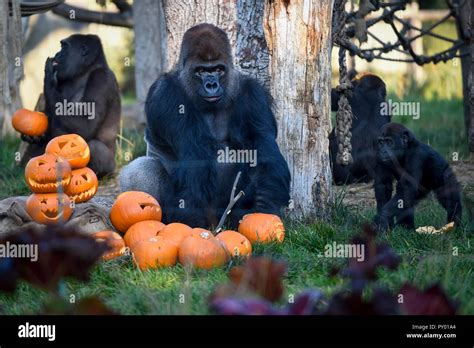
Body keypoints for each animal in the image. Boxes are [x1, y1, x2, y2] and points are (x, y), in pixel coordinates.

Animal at [20, 34, 120, 178]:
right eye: (61, 47)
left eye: (64, 47)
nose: (57, 53)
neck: (85, 72)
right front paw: (35, 135)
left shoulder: (101, 78)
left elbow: (86, 126)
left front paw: (48, 76)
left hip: (111, 166)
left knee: (94, 147)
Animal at [120, 23, 290, 228]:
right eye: (201, 71)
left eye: (218, 69)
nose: (211, 85)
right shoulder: (165, 94)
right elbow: (195, 158)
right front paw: (189, 221)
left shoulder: (254, 94)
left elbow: (262, 149)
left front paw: (264, 208)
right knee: (142, 168)